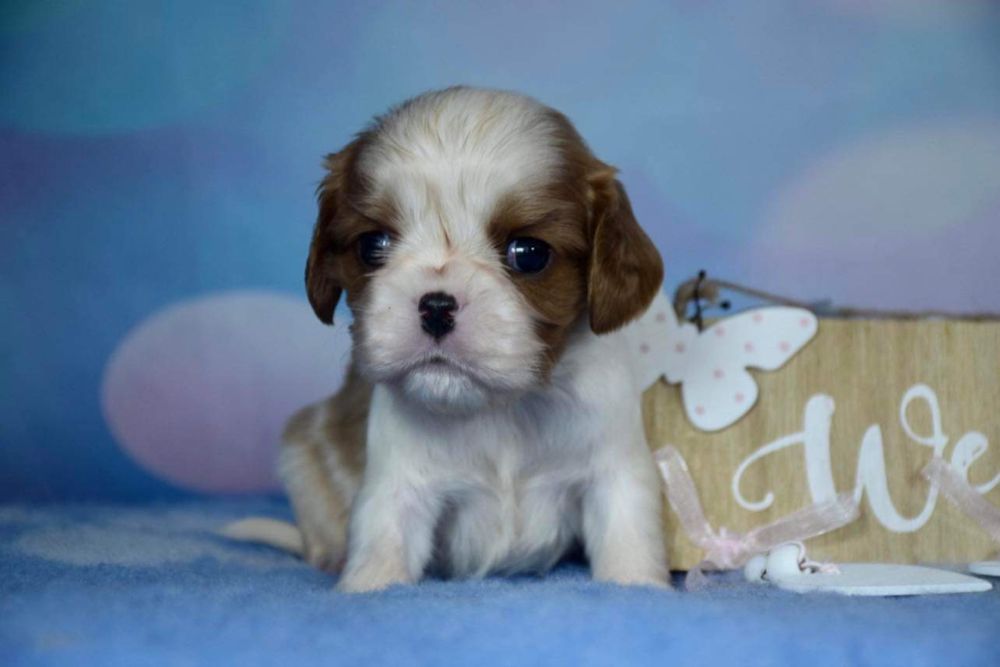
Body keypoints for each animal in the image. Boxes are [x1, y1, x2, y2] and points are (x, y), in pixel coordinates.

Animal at [232, 86, 672, 592]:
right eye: (372, 245)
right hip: (299, 451)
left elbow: (628, 539)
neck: (501, 407)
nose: (437, 306)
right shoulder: (397, 488)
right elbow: (383, 547)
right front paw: (366, 587)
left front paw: (635, 584)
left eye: (530, 253)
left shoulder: (615, 474)